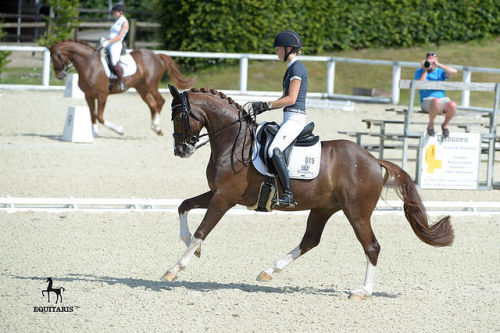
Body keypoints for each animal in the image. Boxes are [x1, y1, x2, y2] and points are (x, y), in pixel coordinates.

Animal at [47, 39, 195, 136]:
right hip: (141, 88)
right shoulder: (88, 95)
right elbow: (92, 115)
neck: (89, 65)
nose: (59, 75)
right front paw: (94, 133)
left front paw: (120, 130)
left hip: (151, 85)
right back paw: (155, 128)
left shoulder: (102, 95)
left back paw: (157, 127)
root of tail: (156, 55)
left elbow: (100, 116)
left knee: (160, 101)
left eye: (56, 57)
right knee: (152, 105)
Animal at [162, 85, 456, 298]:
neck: (235, 142)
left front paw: (174, 269)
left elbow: (202, 230)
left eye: (179, 116)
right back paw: (268, 271)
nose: (181, 151)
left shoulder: (225, 198)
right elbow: (184, 206)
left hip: (357, 212)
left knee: (371, 246)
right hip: (323, 208)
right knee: (310, 241)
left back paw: (362, 292)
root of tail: (374, 160)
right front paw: (192, 249)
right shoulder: (218, 193)